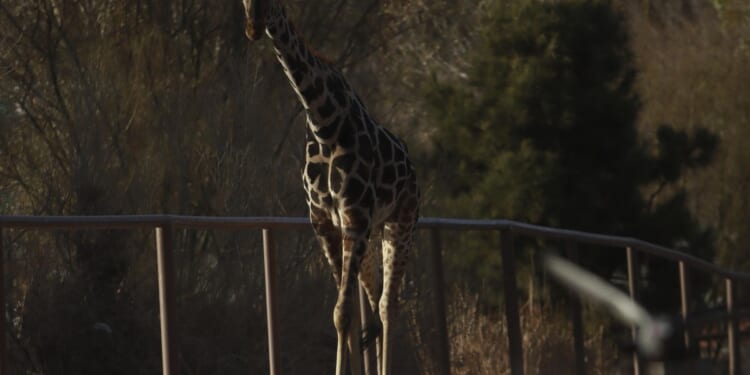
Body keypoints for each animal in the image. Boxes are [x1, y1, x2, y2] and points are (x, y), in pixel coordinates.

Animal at [244, 0, 424, 375]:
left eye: (275, 2)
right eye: (241, 2)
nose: (253, 28)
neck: (323, 121)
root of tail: (413, 170)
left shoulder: (354, 219)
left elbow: (343, 312)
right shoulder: (324, 221)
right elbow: (345, 315)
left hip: (401, 224)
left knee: (388, 305)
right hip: (371, 235)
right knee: (374, 300)